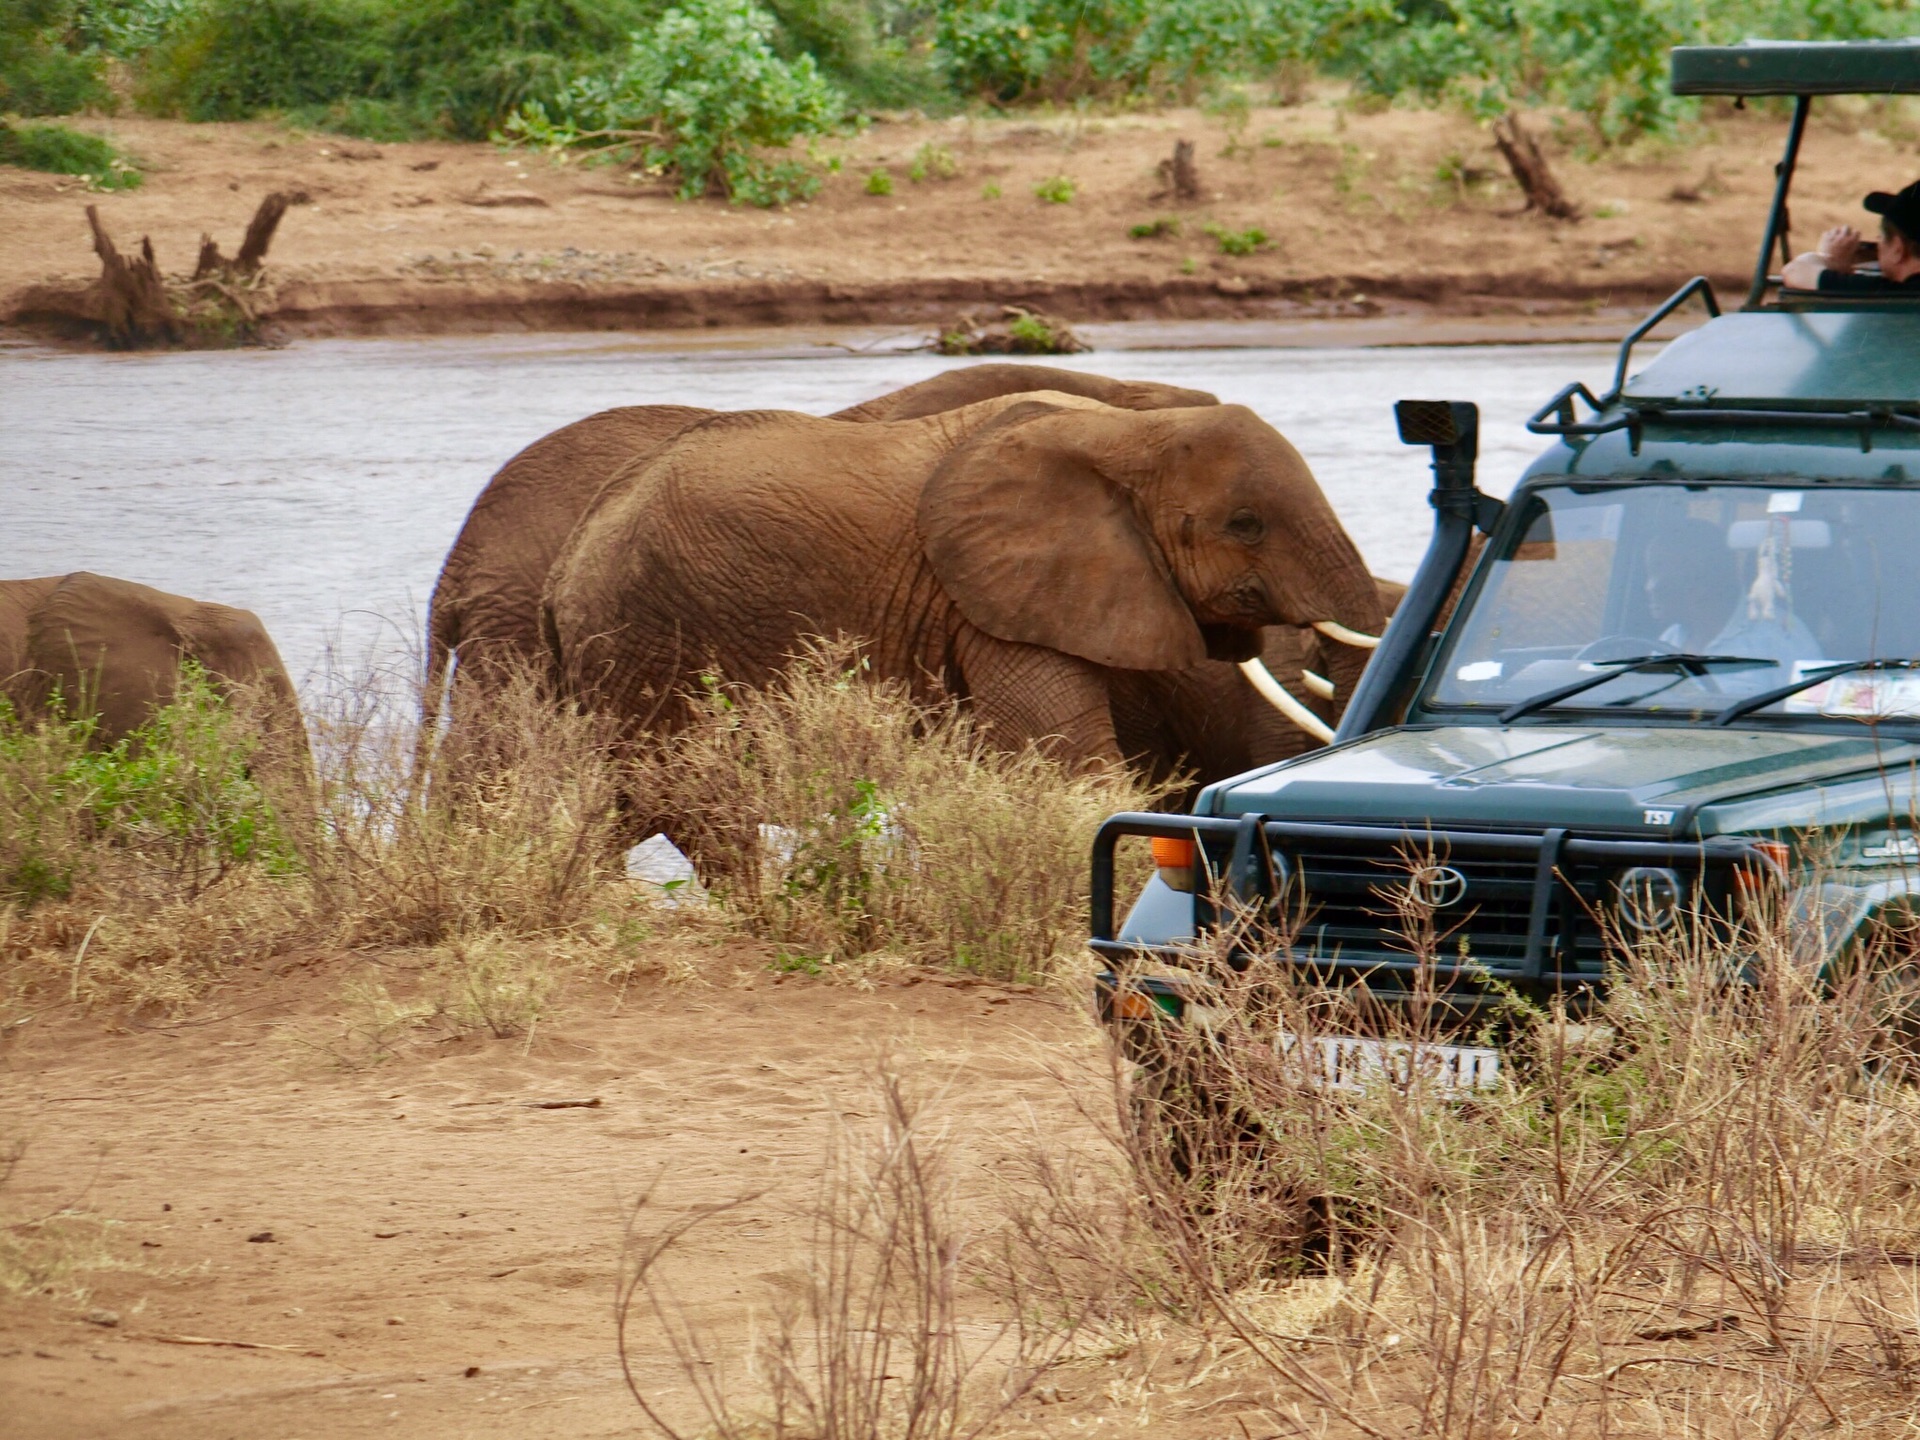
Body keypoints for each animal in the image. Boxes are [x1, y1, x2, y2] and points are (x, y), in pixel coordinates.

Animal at [549, 395, 1390, 771]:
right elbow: (1065, 750)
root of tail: (573, 549)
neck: (1122, 429)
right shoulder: (991, 595)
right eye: (1245, 524)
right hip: (646, 631)